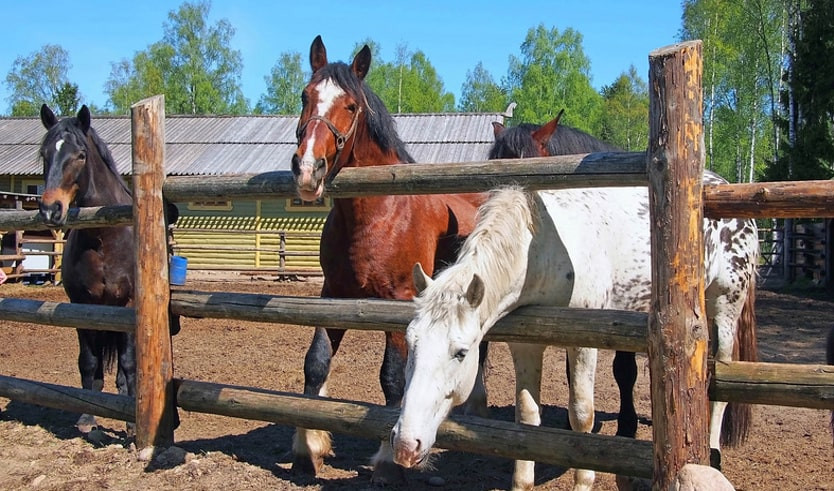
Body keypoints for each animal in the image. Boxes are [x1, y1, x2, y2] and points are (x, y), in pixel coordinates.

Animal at [38, 104, 179, 437]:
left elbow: (128, 364)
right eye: (44, 153)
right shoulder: (82, 305)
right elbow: (89, 362)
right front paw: (87, 418)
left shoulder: (127, 303)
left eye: (80, 155)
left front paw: (132, 423)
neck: (104, 237)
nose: (50, 209)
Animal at [290, 35, 489, 484]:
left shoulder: (398, 303)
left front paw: (386, 460)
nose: (308, 169)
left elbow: (393, 379)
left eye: (350, 106)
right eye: (306, 96)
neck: (378, 211)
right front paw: (308, 447)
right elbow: (316, 363)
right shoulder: (333, 296)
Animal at [390, 138, 758, 490]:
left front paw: (584, 481)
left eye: (461, 352)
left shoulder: (583, 342)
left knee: (720, 377)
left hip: (726, 306)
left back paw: (713, 453)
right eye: (411, 343)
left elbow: (582, 414)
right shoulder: (524, 344)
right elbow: (527, 416)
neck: (541, 248)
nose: (406, 446)